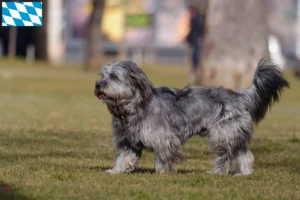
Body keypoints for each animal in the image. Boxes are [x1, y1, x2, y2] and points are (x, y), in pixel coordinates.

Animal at [95, 58, 290, 175]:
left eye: (114, 76)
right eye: (102, 75)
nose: (98, 85)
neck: (135, 107)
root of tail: (238, 95)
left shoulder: (165, 139)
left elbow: (164, 157)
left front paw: (162, 173)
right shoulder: (127, 141)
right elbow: (124, 158)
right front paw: (116, 171)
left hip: (222, 135)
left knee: (226, 156)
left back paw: (217, 172)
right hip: (231, 134)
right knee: (244, 154)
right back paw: (244, 173)